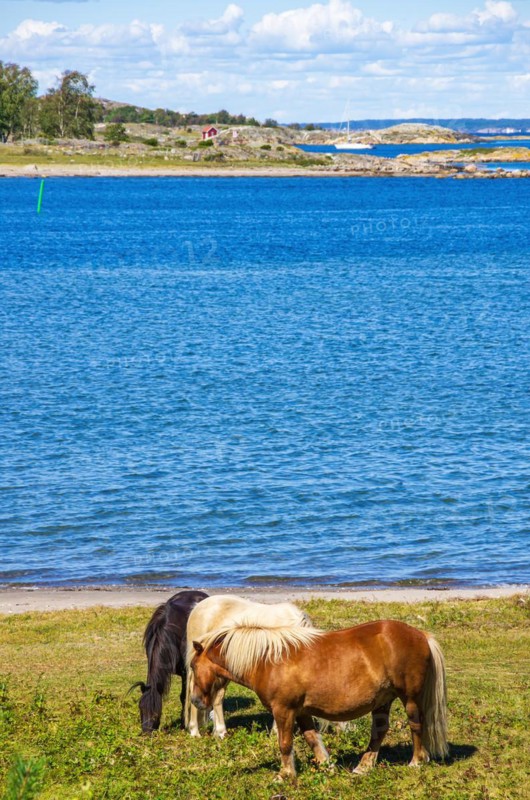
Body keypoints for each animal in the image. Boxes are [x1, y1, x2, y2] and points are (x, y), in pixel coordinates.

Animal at [131, 589, 208, 733]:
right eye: (140, 708)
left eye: (155, 712)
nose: (146, 732)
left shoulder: (186, 672)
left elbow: (184, 697)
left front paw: (184, 724)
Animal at [190, 618, 449, 782]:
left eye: (193, 666)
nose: (195, 701)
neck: (268, 660)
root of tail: (421, 635)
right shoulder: (302, 711)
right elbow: (312, 738)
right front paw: (327, 765)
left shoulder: (284, 710)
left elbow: (285, 744)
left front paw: (285, 775)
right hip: (382, 700)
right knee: (379, 731)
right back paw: (364, 766)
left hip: (410, 698)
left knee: (416, 725)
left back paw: (416, 761)